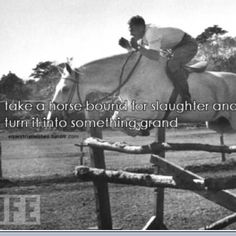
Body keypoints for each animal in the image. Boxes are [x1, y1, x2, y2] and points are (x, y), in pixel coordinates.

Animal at [48, 51, 236, 136]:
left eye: (64, 89)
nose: (51, 118)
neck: (131, 76)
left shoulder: (147, 110)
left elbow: (114, 119)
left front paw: (139, 131)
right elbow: (116, 119)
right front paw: (141, 130)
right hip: (218, 124)